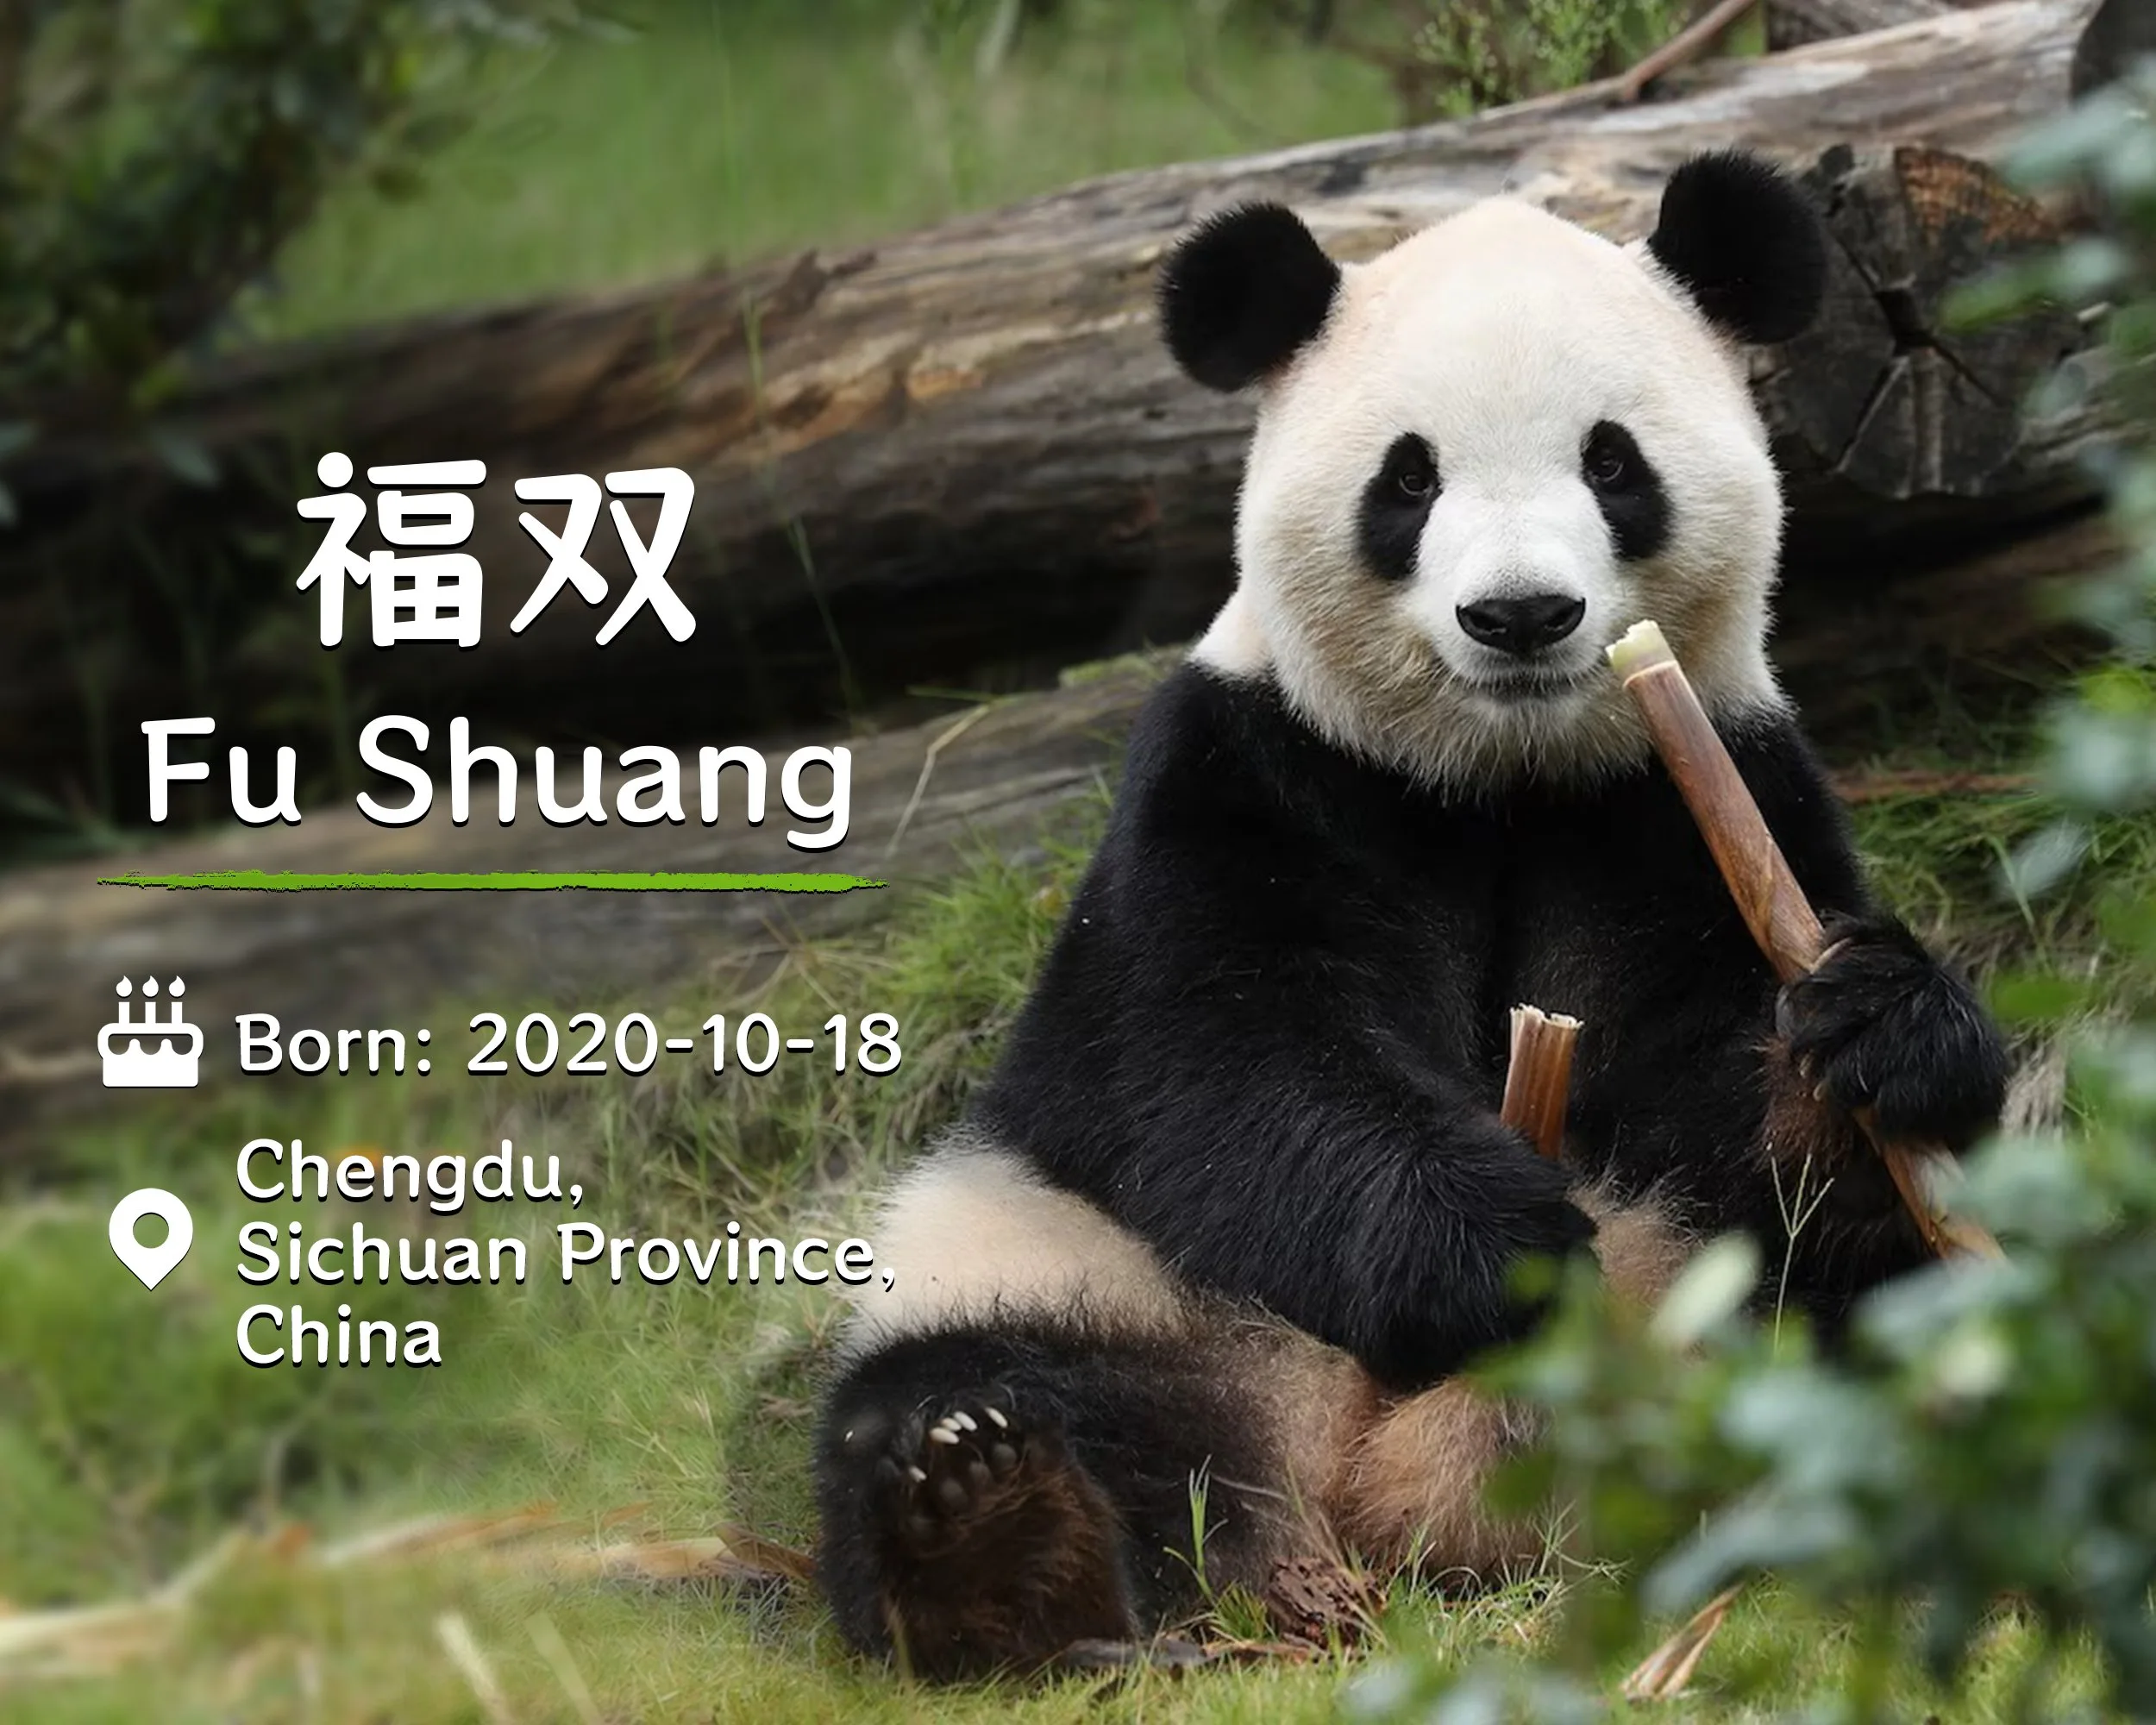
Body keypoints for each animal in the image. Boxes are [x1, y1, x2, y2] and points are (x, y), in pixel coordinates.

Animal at [811, 150, 2010, 1680]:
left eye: (1611, 462)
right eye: (1409, 477)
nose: (1522, 616)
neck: (1500, 778)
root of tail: (1367, 1499)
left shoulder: (1695, 792)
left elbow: (1724, 1085)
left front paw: (1870, 1036)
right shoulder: (1245, 772)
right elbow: (1218, 1057)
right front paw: (1491, 1248)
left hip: (1700, 1306)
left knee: (1869, 1309)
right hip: (1079, 1268)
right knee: (965, 1388)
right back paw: (1000, 1533)